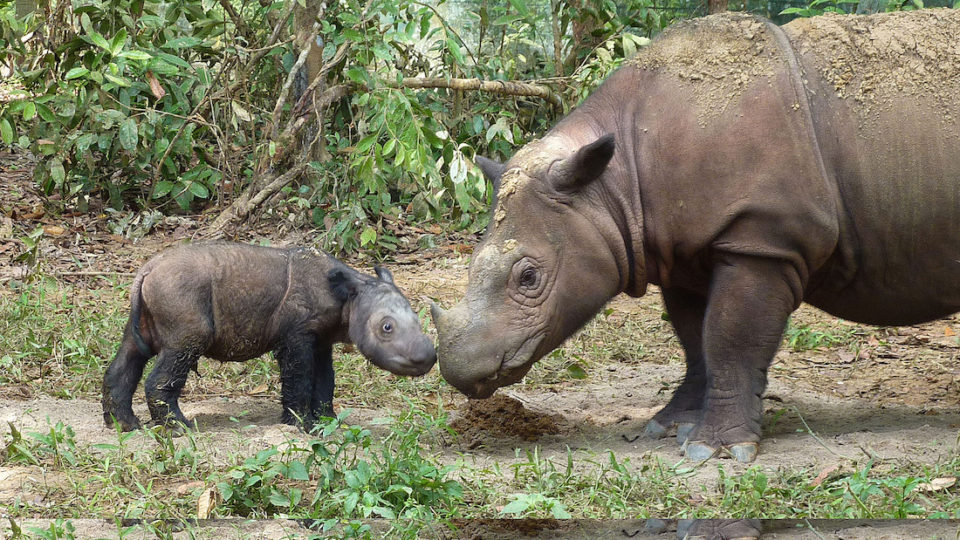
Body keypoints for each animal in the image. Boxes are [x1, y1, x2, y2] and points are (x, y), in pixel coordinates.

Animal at [102, 242, 436, 432]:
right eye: (387, 328)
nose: (428, 357)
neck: (349, 296)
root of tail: (146, 270)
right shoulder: (296, 335)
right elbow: (299, 377)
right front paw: (303, 426)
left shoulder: (321, 339)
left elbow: (325, 379)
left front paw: (329, 421)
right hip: (179, 293)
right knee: (181, 349)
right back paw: (179, 428)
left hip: (153, 299)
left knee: (131, 353)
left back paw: (124, 426)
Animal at [431, 10, 960, 462]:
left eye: (528, 277)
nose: (459, 371)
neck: (612, 185)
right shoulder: (679, 250)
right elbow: (694, 338)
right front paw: (670, 426)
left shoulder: (762, 239)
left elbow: (730, 336)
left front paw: (717, 450)